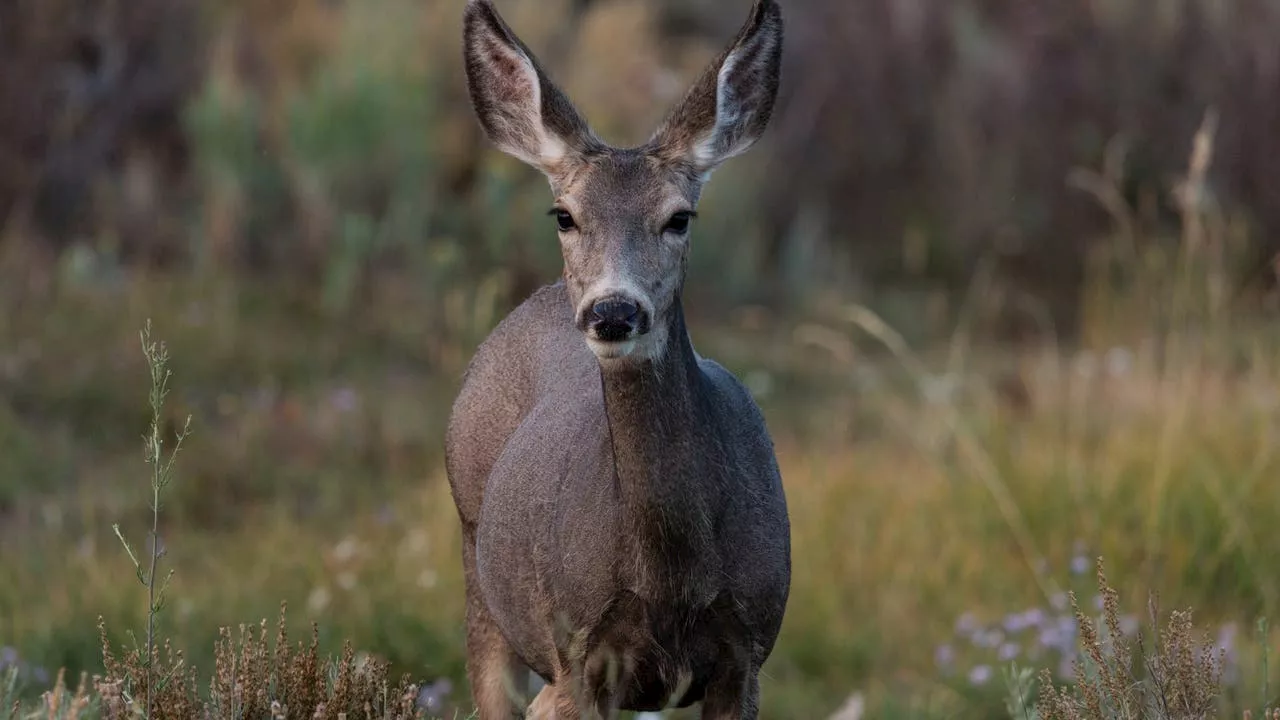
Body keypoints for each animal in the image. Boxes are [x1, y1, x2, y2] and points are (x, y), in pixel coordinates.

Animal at [448, 2, 788, 712]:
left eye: (680, 217)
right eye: (563, 215)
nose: (612, 311)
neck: (670, 574)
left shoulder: (748, 652)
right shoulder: (576, 650)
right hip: (479, 573)